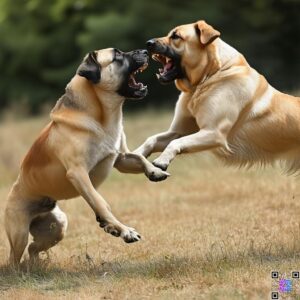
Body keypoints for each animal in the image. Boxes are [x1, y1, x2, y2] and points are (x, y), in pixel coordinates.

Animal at [4, 47, 169, 264]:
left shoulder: (120, 158)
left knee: (33, 249)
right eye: (117, 56)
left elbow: (140, 158)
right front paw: (125, 231)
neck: (101, 116)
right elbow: (100, 202)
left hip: (57, 228)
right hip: (19, 234)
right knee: (16, 258)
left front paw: (154, 172)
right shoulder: (78, 173)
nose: (144, 49)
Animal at [135, 19, 300, 175]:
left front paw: (161, 160)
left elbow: (175, 143)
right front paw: (135, 155)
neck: (208, 77)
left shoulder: (213, 133)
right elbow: (152, 139)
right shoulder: (179, 131)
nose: (148, 43)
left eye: (176, 36)